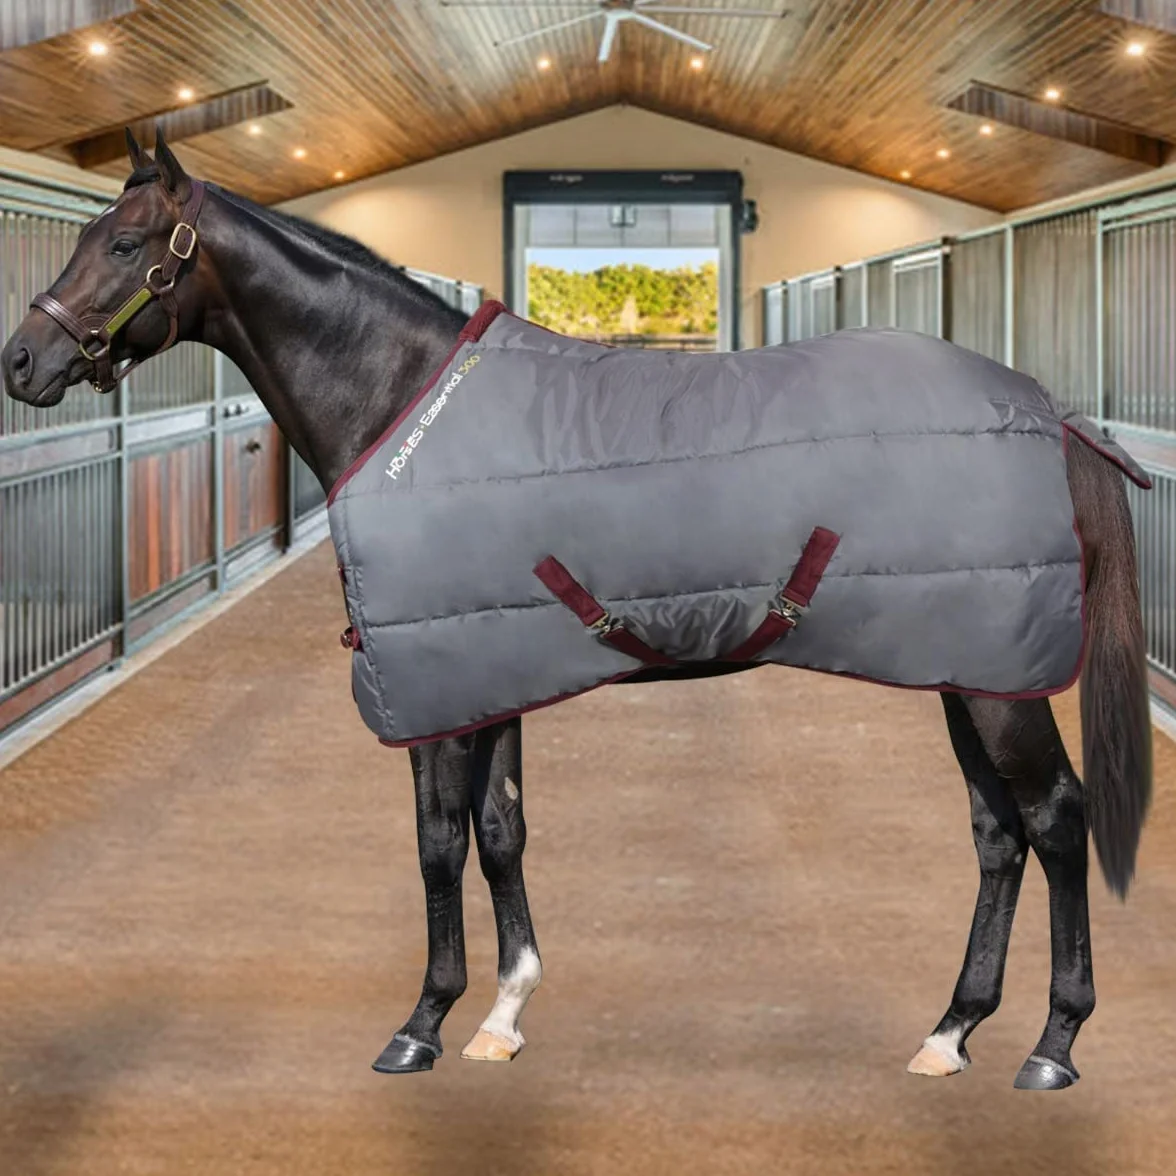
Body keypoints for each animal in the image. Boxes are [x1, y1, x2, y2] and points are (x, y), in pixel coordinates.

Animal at [2, 129, 1152, 1090]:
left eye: (127, 242)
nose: (21, 361)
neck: (397, 398)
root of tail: (1049, 413)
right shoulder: (489, 669)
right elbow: (501, 829)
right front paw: (504, 1014)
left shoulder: (432, 688)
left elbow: (436, 840)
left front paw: (423, 1024)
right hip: (966, 667)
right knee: (998, 833)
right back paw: (951, 1031)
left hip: (999, 682)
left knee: (1056, 818)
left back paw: (1052, 1046)